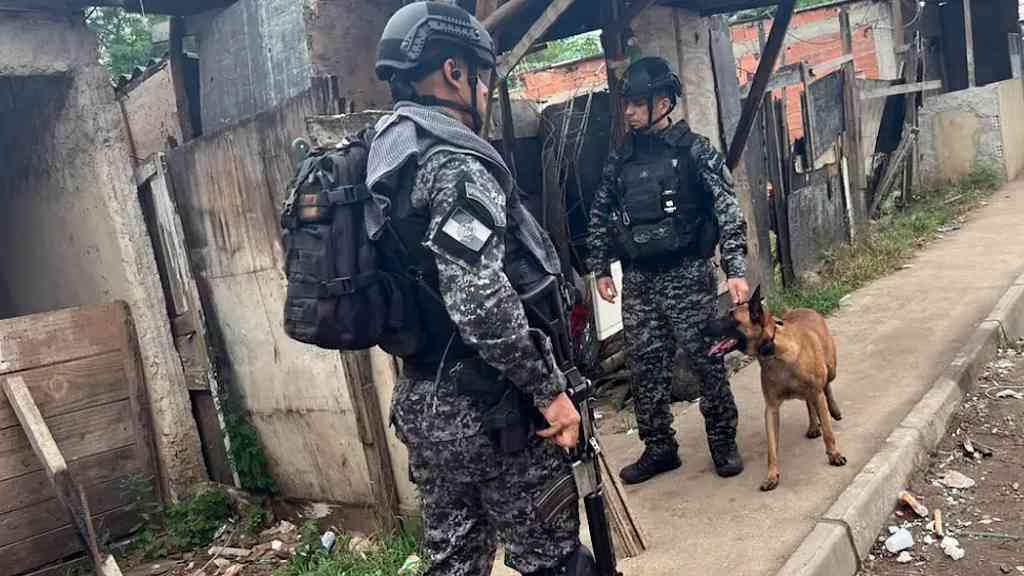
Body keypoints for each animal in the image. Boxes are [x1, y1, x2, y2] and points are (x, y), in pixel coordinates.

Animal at [706, 286, 846, 491]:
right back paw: (813, 425)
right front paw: (772, 475)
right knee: (809, 403)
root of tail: (804, 309)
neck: (774, 352)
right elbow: (772, 448)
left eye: (731, 317)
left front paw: (834, 454)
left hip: (830, 369)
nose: (702, 326)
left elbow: (828, 432)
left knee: (827, 386)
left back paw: (834, 411)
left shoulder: (817, 391)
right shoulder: (771, 409)